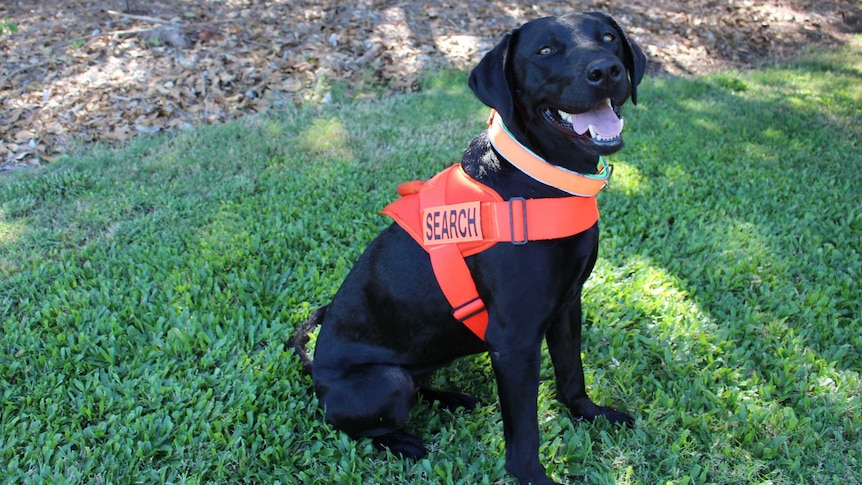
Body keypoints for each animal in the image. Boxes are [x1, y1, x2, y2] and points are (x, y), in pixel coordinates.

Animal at [294, 12, 644, 484]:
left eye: (608, 38)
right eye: (546, 50)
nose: (606, 70)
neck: (540, 181)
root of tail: (315, 373)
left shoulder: (568, 306)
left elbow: (573, 375)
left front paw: (590, 414)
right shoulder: (513, 339)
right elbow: (525, 433)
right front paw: (531, 475)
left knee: (420, 385)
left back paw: (453, 399)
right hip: (386, 382)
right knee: (360, 422)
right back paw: (403, 441)